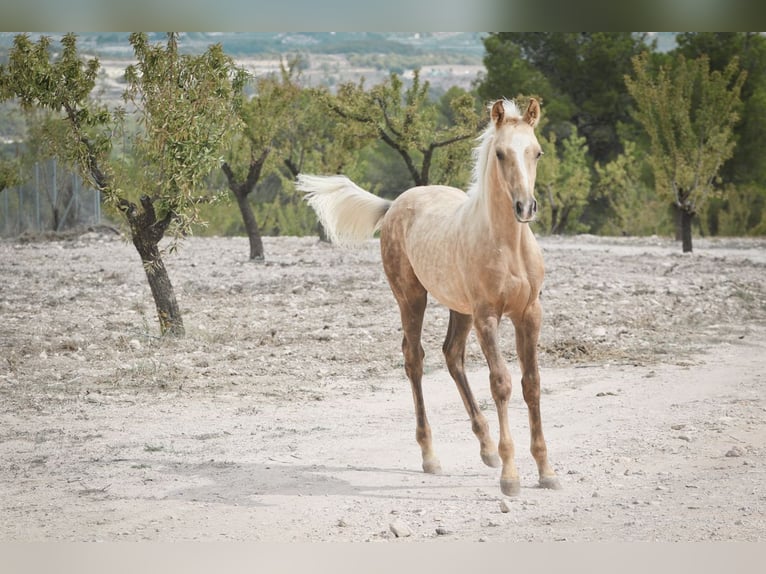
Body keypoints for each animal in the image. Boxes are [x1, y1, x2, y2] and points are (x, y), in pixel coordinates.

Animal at [296, 98, 560, 496]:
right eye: (500, 154)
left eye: (537, 152)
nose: (525, 207)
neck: (507, 246)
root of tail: (394, 205)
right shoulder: (487, 317)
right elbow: (501, 383)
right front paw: (510, 477)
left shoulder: (529, 313)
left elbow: (532, 384)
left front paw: (546, 471)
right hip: (412, 298)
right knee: (414, 359)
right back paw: (430, 456)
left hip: (459, 308)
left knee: (452, 355)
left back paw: (485, 448)